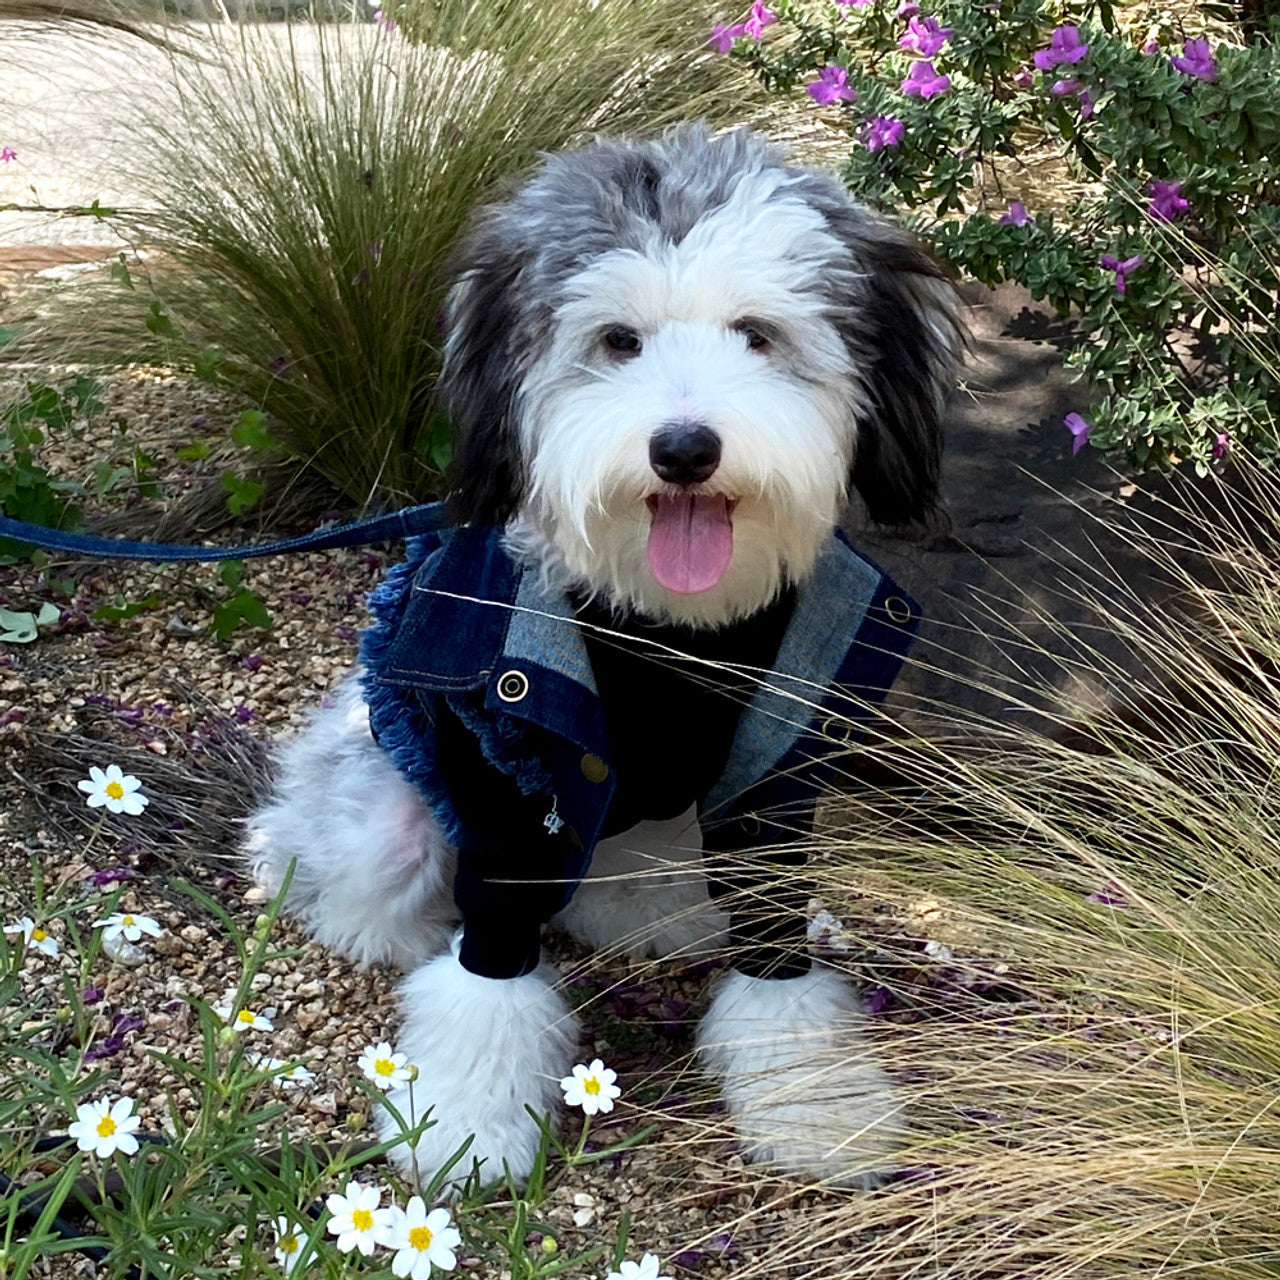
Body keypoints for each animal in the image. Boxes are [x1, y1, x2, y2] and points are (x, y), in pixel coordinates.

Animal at [247, 122, 962, 1187]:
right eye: (618, 341)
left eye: (758, 333)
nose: (684, 449)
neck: (665, 625)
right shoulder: (507, 788)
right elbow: (490, 971)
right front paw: (466, 1124)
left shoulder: (771, 784)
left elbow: (777, 954)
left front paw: (815, 1104)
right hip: (388, 815)